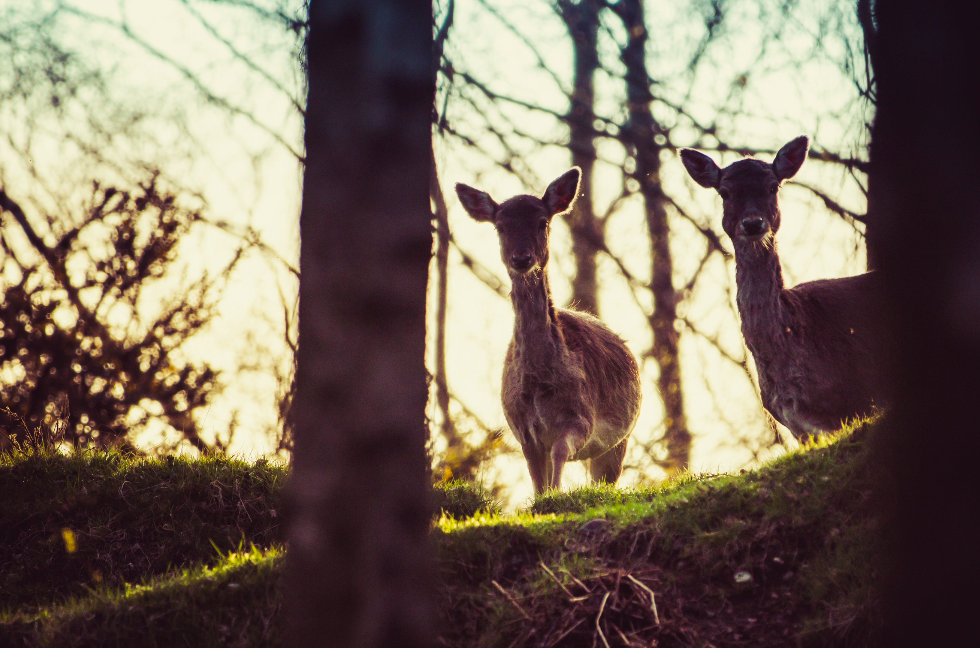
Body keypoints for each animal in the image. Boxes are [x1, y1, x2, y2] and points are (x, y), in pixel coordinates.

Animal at [454, 170, 644, 494]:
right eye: (500, 226)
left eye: (542, 222)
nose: (521, 258)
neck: (539, 382)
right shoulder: (520, 426)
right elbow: (535, 478)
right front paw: (544, 495)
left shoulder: (582, 417)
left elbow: (560, 451)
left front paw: (556, 493)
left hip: (620, 440)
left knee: (605, 479)